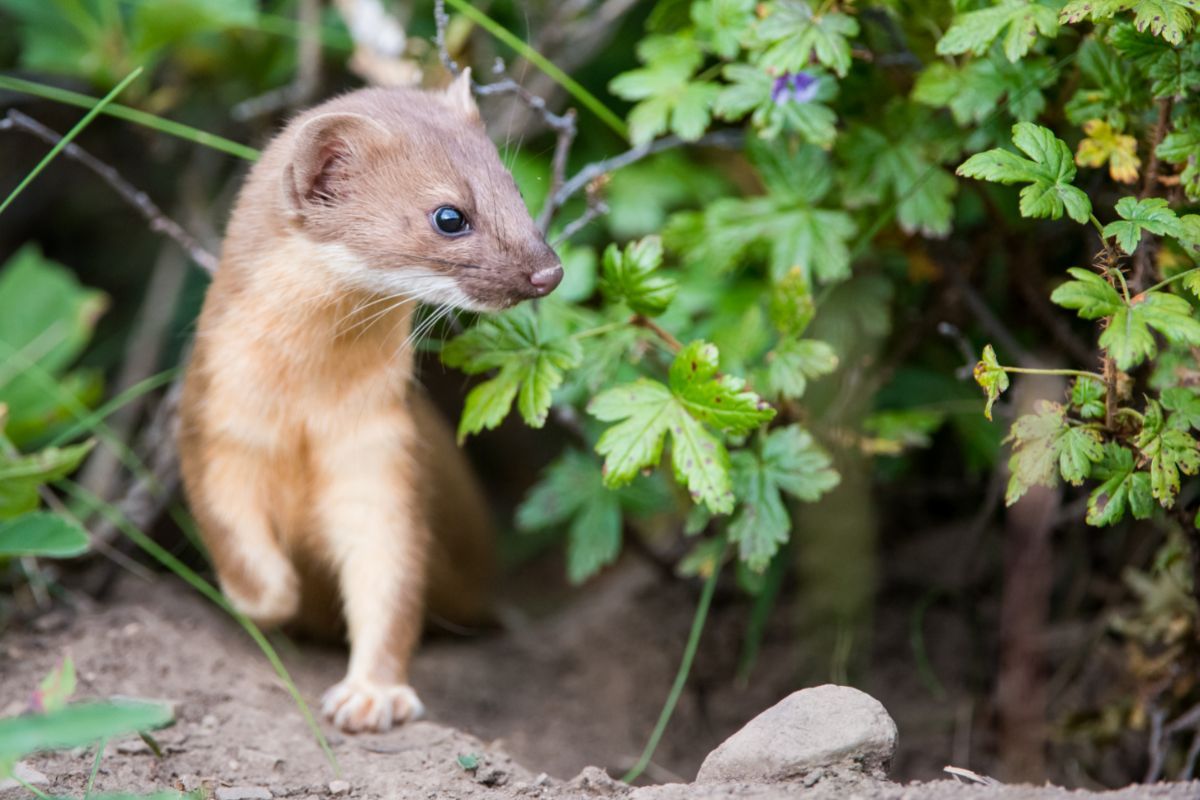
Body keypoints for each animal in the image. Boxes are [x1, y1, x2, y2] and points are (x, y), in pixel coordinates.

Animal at [180, 71, 564, 734]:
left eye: (514, 187)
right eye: (449, 215)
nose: (548, 272)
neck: (304, 411)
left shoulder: (382, 449)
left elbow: (391, 575)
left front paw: (372, 695)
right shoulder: (214, 422)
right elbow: (229, 528)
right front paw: (276, 597)